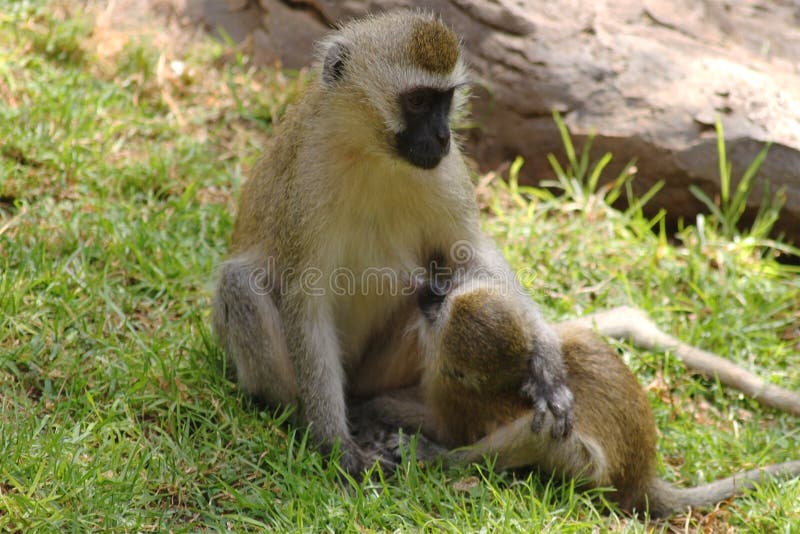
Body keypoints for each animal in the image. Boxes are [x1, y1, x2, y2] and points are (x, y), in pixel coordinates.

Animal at [211, 9, 576, 478]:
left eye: (444, 101)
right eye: (417, 101)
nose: (443, 136)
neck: (373, 154)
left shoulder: (446, 171)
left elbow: (468, 252)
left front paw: (544, 358)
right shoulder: (306, 182)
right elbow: (305, 302)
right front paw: (335, 443)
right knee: (239, 284)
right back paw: (301, 413)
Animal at [410, 280, 796, 520]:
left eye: (440, 309)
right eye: (444, 298)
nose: (430, 293)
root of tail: (640, 475)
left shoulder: (449, 393)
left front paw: (436, 454)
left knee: (552, 436)